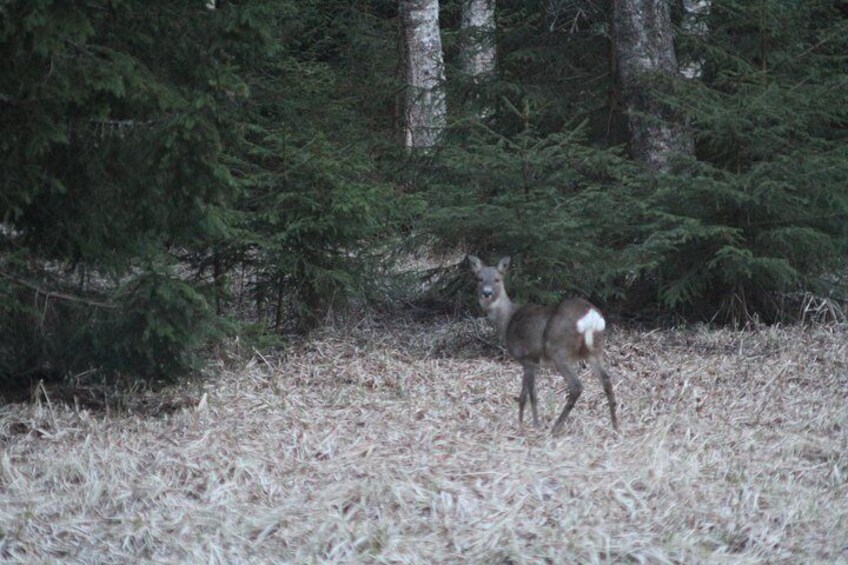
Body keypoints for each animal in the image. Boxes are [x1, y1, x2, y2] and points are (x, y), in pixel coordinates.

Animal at [468, 255, 618, 434]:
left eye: (497, 279)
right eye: (479, 279)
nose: (487, 293)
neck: (508, 320)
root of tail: (592, 317)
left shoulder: (526, 357)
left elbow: (528, 395)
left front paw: (528, 425)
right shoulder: (533, 362)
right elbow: (530, 394)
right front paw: (529, 423)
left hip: (559, 350)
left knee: (576, 386)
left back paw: (555, 427)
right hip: (595, 350)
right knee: (607, 380)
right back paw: (615, 425)